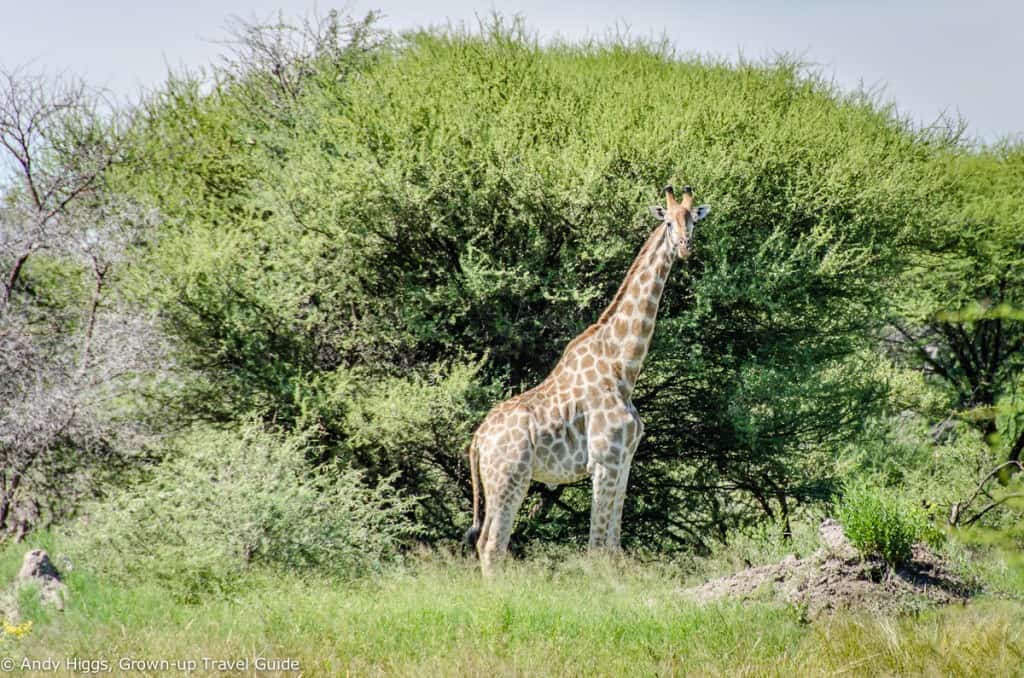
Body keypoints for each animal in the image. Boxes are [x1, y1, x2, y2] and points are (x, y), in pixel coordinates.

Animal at [465, 184, 711, 575]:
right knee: (492, 545)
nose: (686, 247)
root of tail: (476, 441)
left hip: (497, 481)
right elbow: (596, 547)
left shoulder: (624, 461)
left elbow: (614, 545)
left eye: (693, 221)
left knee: (485, 541)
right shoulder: (604, 461)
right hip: (510, 478)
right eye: (669, 223)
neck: (622, 368)